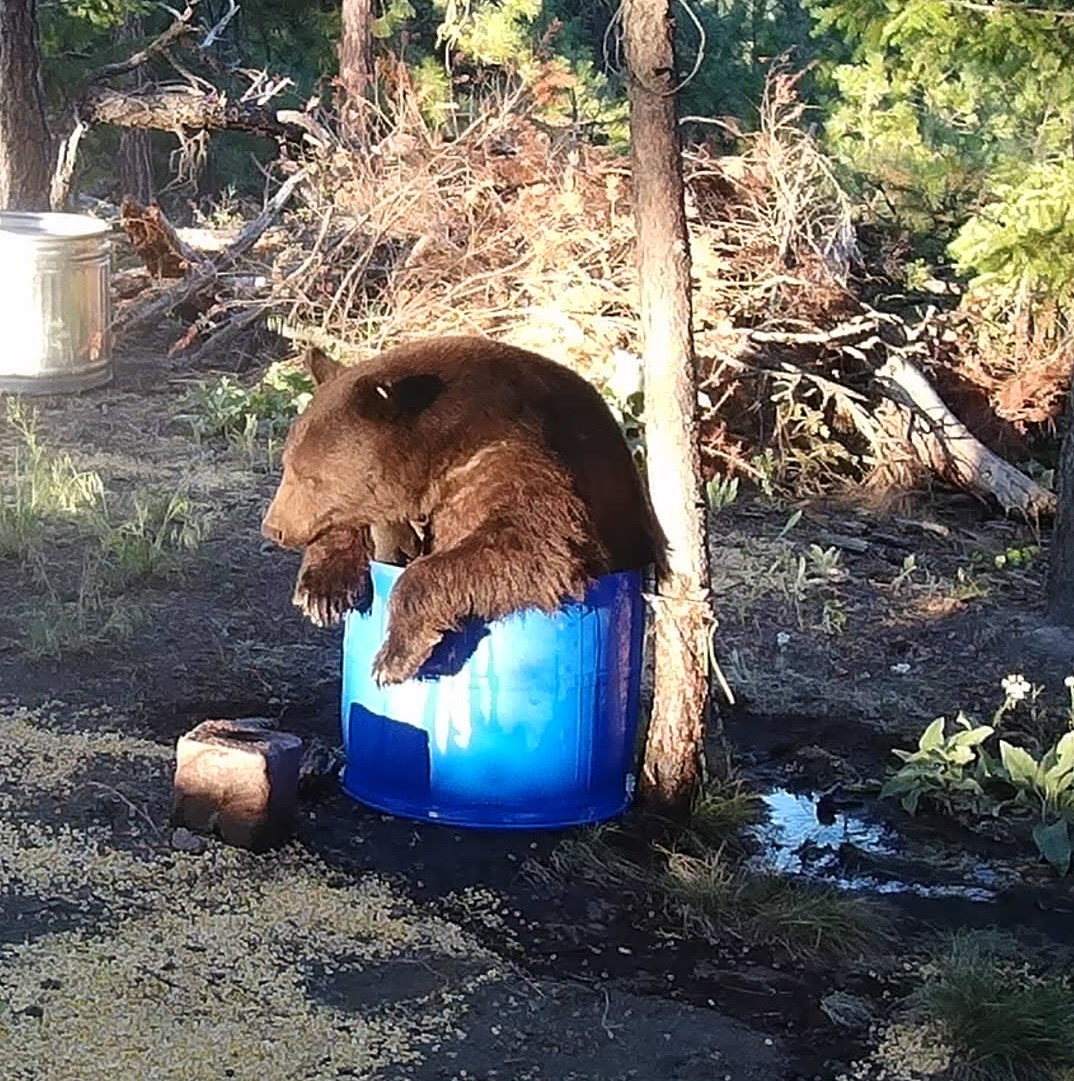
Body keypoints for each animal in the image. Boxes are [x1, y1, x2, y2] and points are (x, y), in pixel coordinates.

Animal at [261, 335, 665, 686]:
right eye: (288, 463)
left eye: (311, 477)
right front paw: (321, 593)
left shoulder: (508, 458)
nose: (273, 527)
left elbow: (534, 544)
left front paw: (393, 658)